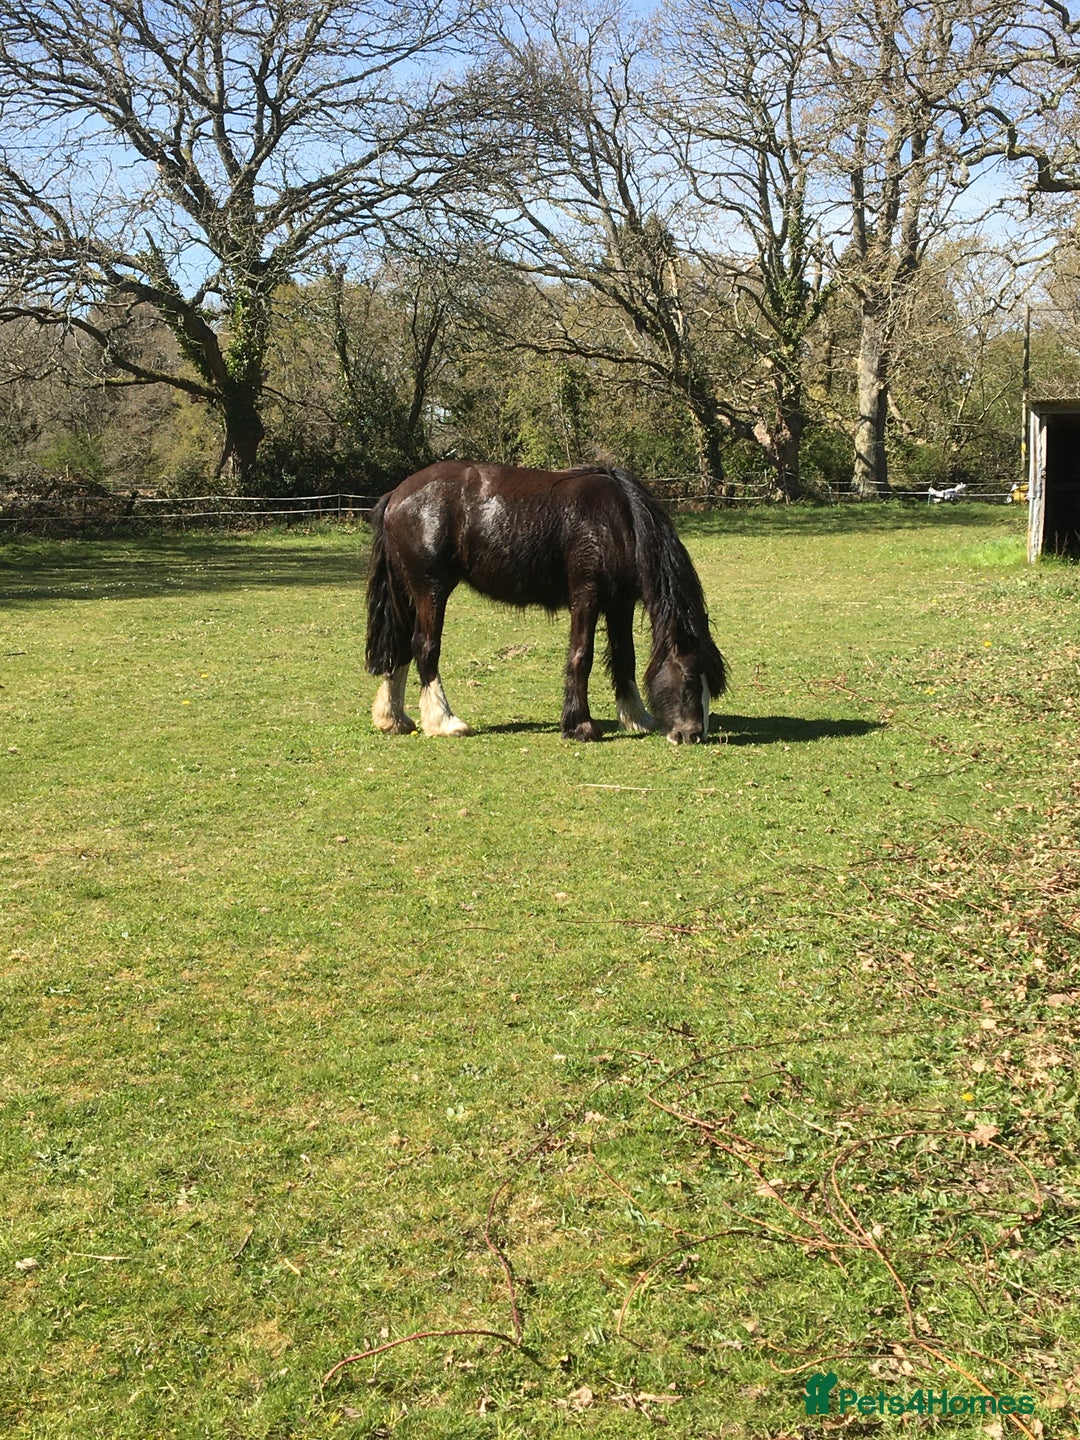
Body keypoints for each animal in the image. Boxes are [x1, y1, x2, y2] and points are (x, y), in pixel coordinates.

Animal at [364, 461, 727, 743]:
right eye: (689, 677)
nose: (693, 734)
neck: (617, 521)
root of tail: (397, 495)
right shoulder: (586, 597)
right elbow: (581, 656)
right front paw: (580, 726)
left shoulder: (619, 603)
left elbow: (625, 657)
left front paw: (635, 717)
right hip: (431, 590)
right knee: (425, 647)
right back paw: (443, 721)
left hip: (406, 592)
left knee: (400, 647)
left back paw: (394, 719)